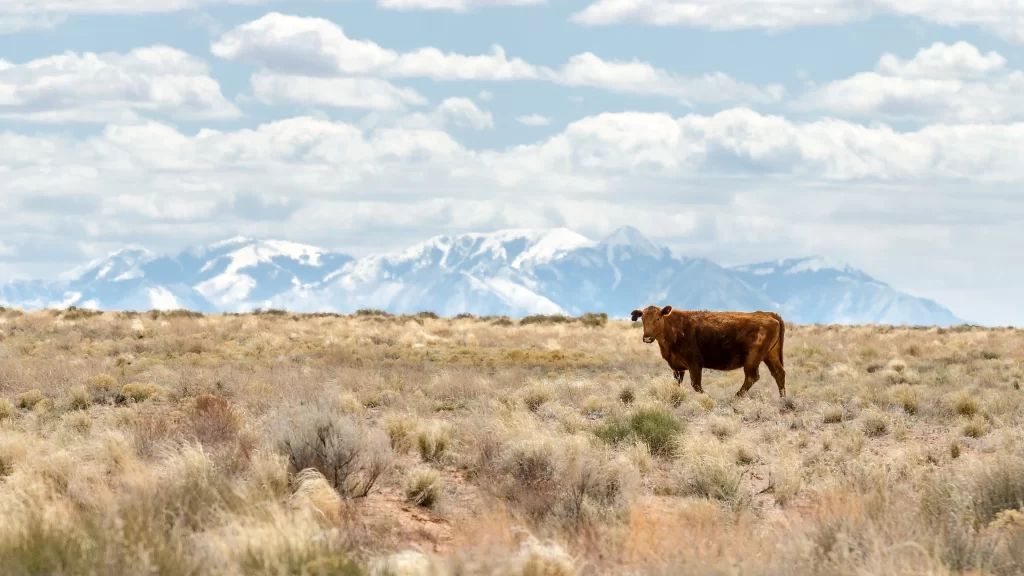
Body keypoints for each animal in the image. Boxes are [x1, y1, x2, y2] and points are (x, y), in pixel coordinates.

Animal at [630, 305, 787, 398]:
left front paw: (709, 397)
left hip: (752, 359)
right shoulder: (677, 367)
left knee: (752, 377)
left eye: (658, 318)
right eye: (643, 319)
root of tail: (769, 314)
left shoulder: (694, 364)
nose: (647, 337)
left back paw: (734, 398)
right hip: (770, 355)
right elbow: (677, 383)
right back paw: (783, 399)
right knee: (778, 373)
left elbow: (696, 385)